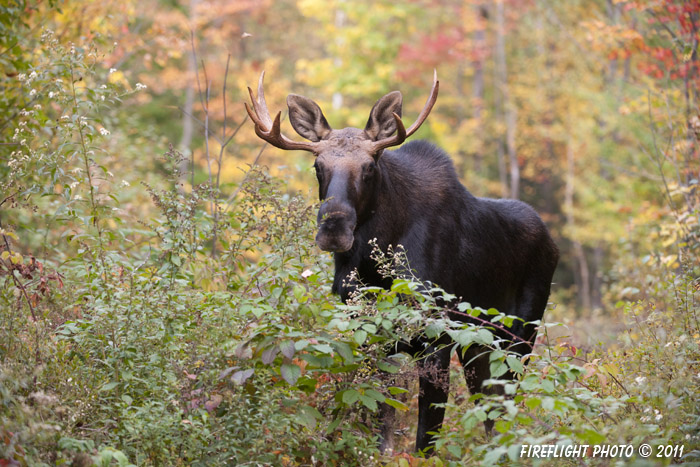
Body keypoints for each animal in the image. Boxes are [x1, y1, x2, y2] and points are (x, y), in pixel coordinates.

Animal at [246, 71, 556, 456]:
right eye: (318, 166)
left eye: (369, 166)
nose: (334, 229)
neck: (373, 267)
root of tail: (553, 243)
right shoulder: (368, 331)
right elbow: (380, 421)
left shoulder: (436, 335)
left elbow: (426, 435)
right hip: (479, 345)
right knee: (489, 408)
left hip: (519, 335)